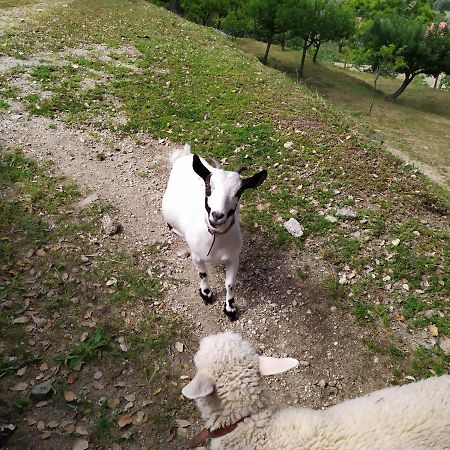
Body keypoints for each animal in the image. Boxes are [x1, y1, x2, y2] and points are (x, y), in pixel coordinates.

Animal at [162, 145, 268, 320]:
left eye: (239, 192)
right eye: (208, 186)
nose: (217, 215)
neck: (216, 238)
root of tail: (184, 155)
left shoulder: (234, 258)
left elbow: (230, 284)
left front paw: (230, 308)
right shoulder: (197, 255)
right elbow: (203, 274)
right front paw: (206, 294)